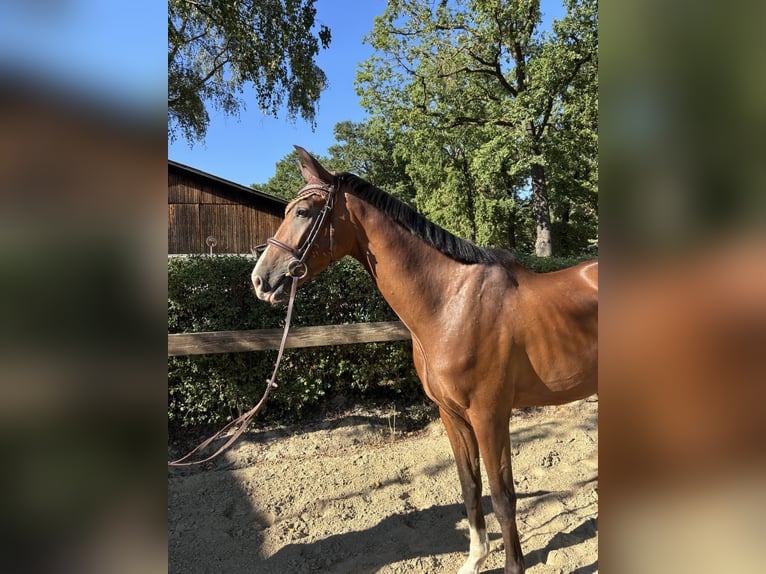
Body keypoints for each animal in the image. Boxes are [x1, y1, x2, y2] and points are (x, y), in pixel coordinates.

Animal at [252, 146, 598, 574]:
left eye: (302, 212)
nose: (261, 280)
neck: (452, 302)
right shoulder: (452, 414)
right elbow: (471, 487)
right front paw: (475, 560)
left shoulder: (490, 415)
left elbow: (503, 496)